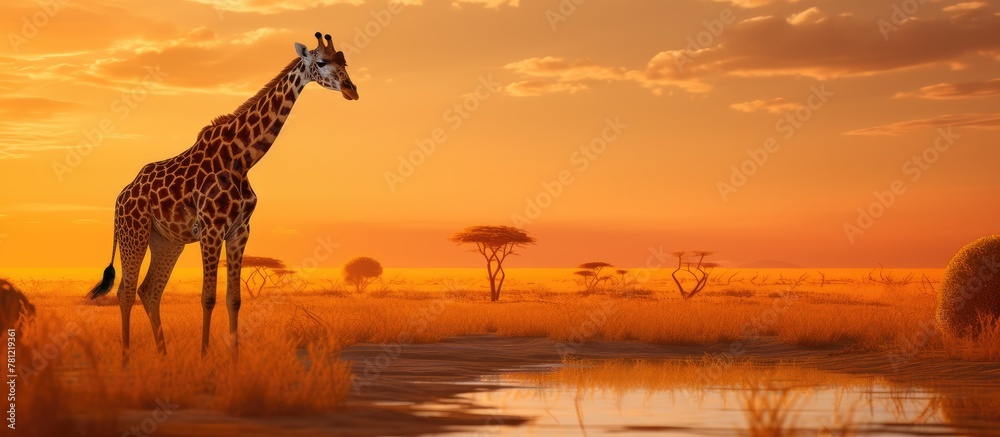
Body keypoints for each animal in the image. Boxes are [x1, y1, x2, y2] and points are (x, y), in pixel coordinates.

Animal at [88, 32, 358, 367]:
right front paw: (205, 359)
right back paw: (126, 363)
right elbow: (208, 297)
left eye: (344, 61)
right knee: (125, 291)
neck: (242, 159)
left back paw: (164, 359)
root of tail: (121, 196)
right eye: (321, 62)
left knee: (149, 290)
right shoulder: (211, 228)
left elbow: (234, 299)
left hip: (167, 241)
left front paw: (235, 361)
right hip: (133, 232)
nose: (351, 90)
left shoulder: (240, 230)